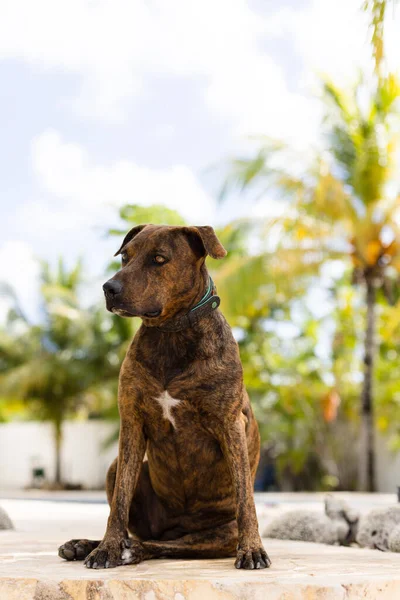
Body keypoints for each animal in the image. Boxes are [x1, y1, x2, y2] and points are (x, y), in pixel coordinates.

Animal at [57, 226, 270, 572]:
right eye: (125, 257)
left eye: (159, 259)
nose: (109, 288)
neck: (171, 334)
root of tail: (175, 528)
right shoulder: (131, 424)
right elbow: (119, 504)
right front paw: (106, 548)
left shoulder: (230, 424)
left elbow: (245, 499)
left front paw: (252, 549)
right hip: (116, 468)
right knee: (140, 529)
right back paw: (91, 545)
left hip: (219, 535)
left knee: (168, 545)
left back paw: (132, 550)